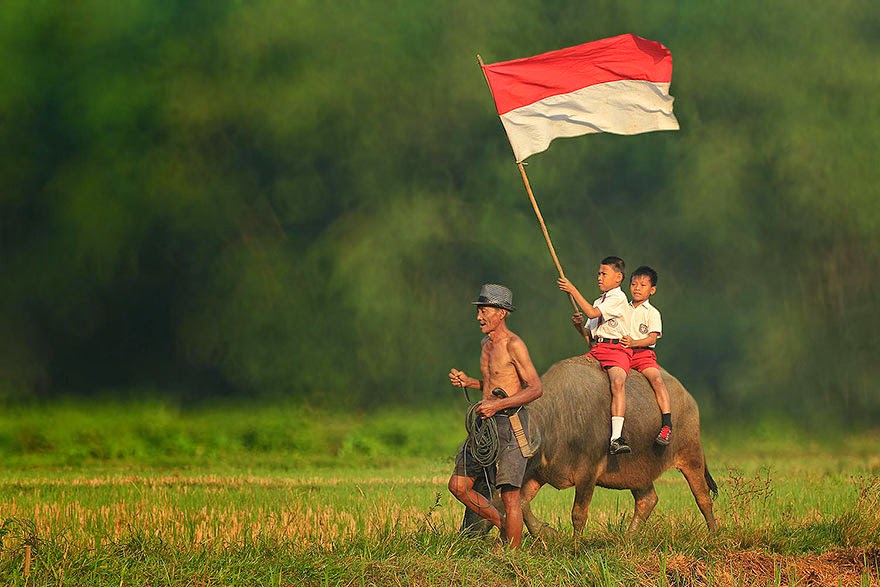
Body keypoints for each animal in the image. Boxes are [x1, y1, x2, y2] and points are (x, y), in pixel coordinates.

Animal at [460, 354, 716, 536]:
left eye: (485, 488)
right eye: (477, 483)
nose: (465, 532)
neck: (557, 420)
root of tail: (688, 398)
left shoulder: (588, 472)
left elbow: (578, 514)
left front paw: (575, 544)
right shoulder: (540, 472)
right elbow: (522, 504)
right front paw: (547, 533)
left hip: (691, 454)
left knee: (702, 496)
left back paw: (713, 533)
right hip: (637, 471)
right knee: (647, 500)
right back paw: (628, 538)